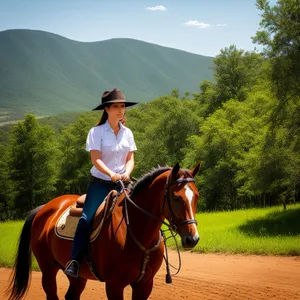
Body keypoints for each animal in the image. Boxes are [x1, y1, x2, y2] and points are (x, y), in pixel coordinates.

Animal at [7, 163, 200, 298]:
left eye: (197, 196)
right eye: (176, 197)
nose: (192, 238)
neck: (136, 231)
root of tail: (44, 208)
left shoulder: (145, 284)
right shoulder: (114, 285)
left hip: (77, 277)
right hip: (47, 269)